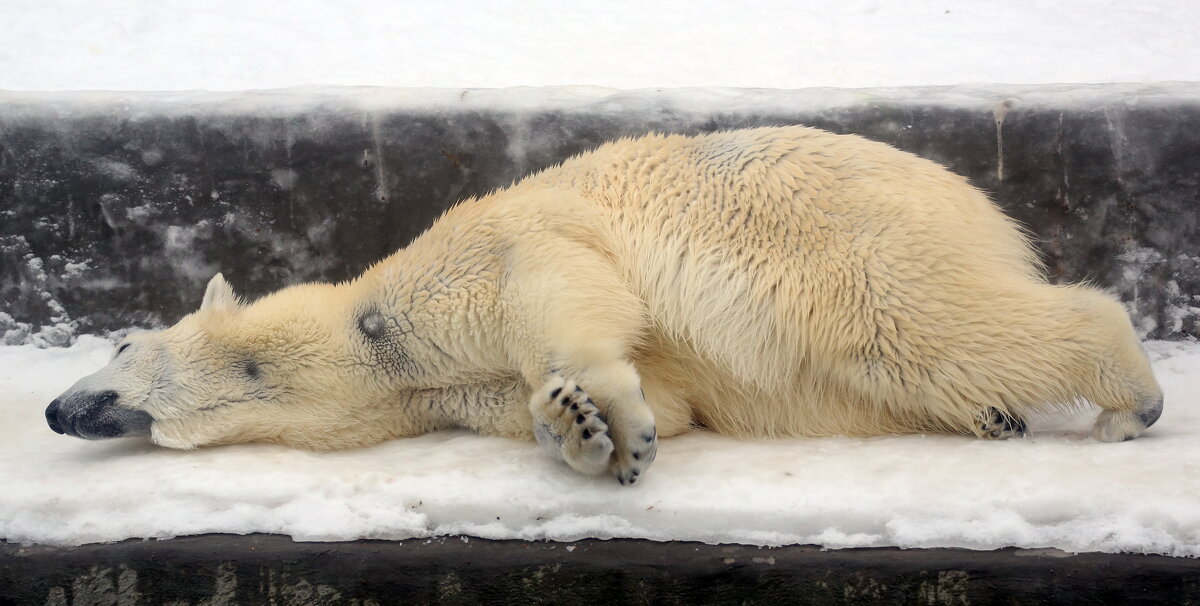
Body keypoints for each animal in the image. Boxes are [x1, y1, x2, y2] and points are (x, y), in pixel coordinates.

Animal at [46, 126, 1161, 482]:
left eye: (121, 342)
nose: (56, 408)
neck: (378, 343)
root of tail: (979, 203)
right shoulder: (451, 388)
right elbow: (662, 391)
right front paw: (591, 429)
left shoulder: (473, 257)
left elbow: (559, 281)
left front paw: (594, 413)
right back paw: (997, 418)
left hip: (843, 248)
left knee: (927, 328)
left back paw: (1129, 404)